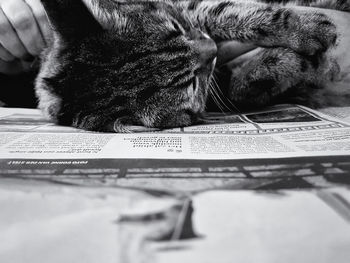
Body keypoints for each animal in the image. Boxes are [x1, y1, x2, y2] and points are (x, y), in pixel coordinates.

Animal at [35, 0, 348, 132]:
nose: (212, 49)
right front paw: (283, 64)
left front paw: (303, 27)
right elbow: (235, 88)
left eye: (176, 28)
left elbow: (226, 10)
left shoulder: (188, 6)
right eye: (193, 83)